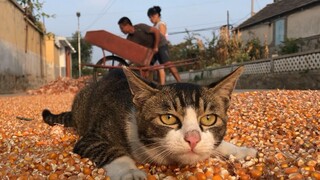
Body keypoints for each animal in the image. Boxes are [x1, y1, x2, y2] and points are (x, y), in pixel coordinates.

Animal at [43, 66, 258, 180]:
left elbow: (217, 144)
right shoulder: (91, 138)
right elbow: (109, 150)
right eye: (168, 118)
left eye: (208, 118)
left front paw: (241, 151)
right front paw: (130, 172)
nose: (193, 139)